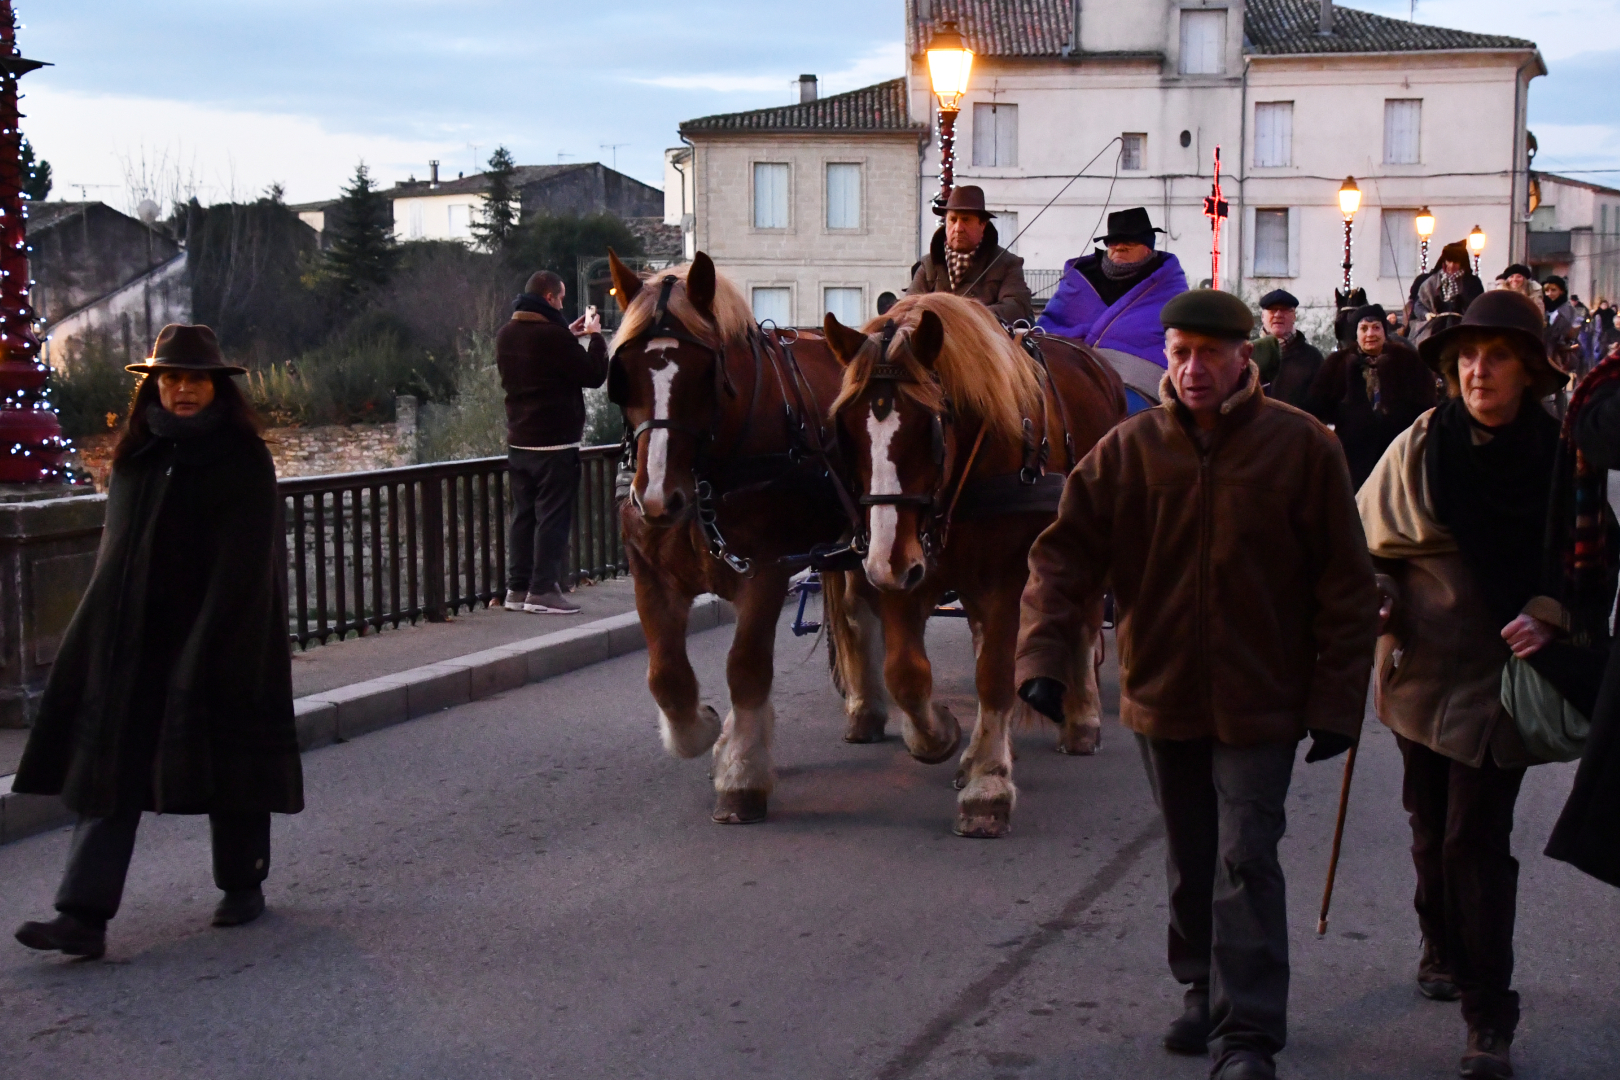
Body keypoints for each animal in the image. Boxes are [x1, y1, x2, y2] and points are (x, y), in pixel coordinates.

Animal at [602, 254, 874, 829]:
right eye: (623, 373)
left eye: (708, 375)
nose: (657, 498)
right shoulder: (650, 573)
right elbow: (665, 676)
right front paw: (706, 730)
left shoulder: (767, 571)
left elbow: (746, 667)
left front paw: (740, 771)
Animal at [822, 297, 1127, 841]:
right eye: (846, 430)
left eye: (928, 426)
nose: (883, 561)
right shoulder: (907, 574)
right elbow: (906, 674)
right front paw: (941, 735)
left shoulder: (1005, 579)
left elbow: (995, 674)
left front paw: (988, 784)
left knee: (1085, 622)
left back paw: (1082, 719)